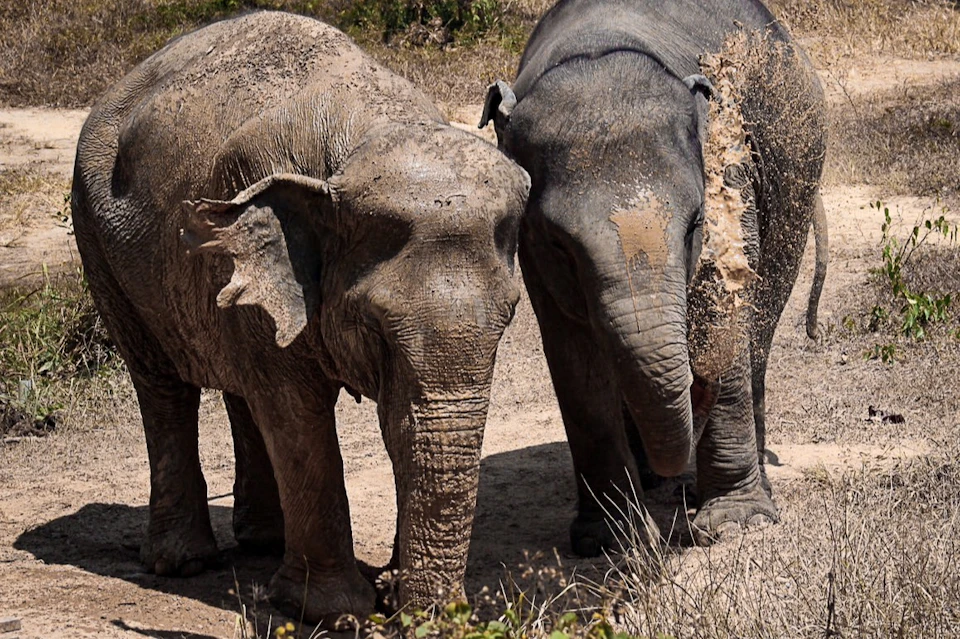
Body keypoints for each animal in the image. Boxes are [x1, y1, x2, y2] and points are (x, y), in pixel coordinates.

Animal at [71, 11, 530, 624]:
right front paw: (334, 611)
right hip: (99, 243)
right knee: (163, 387)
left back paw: (263, 542)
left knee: (239, 383)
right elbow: (297, 410)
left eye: (509, 317)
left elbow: (389, 421)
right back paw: (184, 563)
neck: (359, 141)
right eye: (376, 328)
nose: (417, 609)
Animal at [480, 0, 827, 554]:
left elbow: (726, 308)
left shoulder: (731, 179)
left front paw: (736, 523)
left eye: (696, 224)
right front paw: (610, 540)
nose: (697, 383)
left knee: (763, 320)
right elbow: (572, 359)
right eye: (559, 243)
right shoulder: (531, 256)